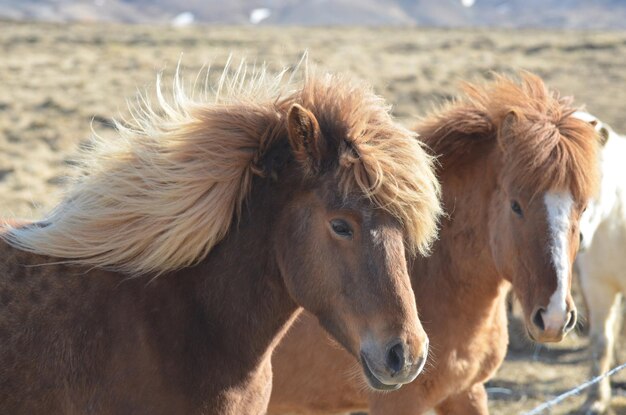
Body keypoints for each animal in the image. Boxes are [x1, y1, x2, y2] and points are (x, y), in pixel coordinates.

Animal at [268, 73, 600, 414]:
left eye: (583, 208)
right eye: (516, 206)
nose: (554, 317)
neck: (439, 275)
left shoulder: (468, 392)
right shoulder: (398, 402)